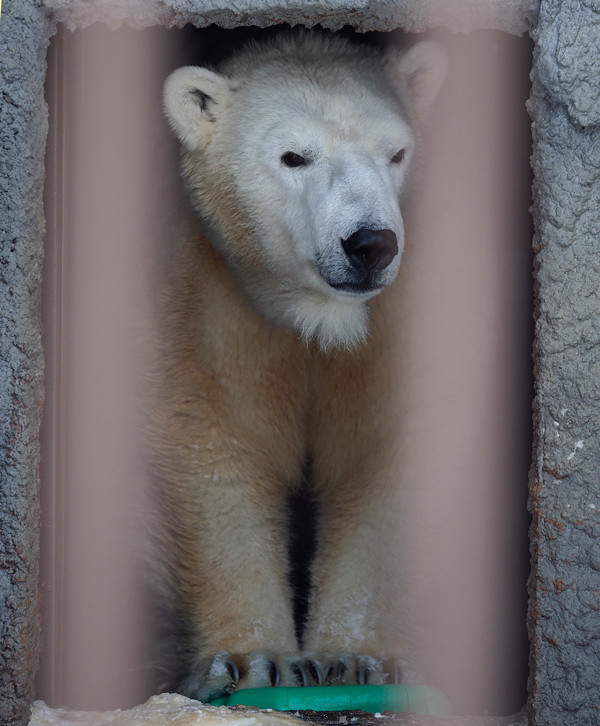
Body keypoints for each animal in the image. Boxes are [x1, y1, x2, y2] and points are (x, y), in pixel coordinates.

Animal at [152, 29, 446, 704]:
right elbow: (219, 449)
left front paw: (353, 660)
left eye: (397, 152)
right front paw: (249, 661)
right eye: (294, 157)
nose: (370, 244)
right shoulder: (215, 303)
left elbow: (377, 456)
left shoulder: (397, 325)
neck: (318, 320)